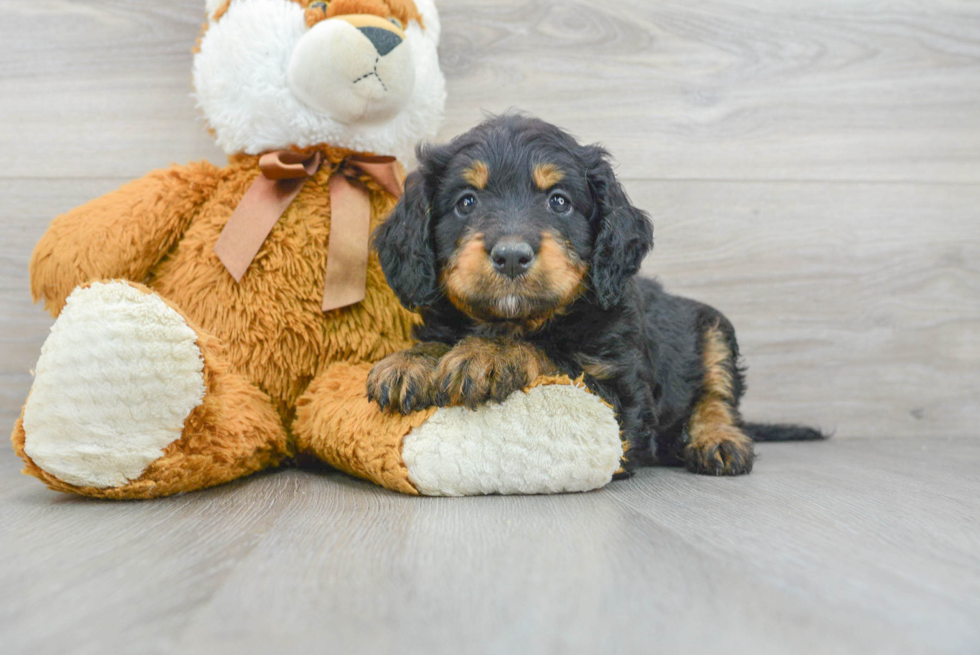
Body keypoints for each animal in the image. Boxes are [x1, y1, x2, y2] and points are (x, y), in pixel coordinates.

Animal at [368, 114, 820, 476]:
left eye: (559, 201)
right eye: (466, 202)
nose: (511, 256)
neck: (518, 320)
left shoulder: (620, 400)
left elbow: (553, 355)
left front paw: (490, 354)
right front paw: (410, 362)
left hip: (712, 328)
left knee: (718, 393)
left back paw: (718, 441)